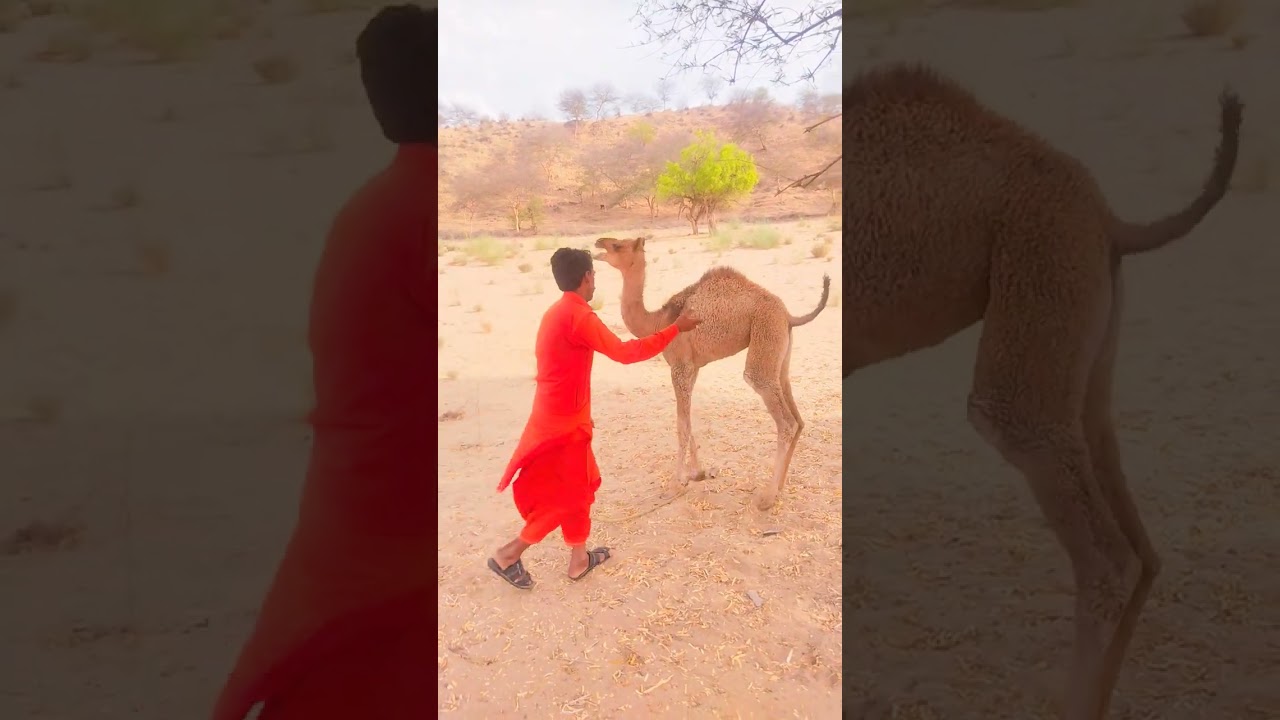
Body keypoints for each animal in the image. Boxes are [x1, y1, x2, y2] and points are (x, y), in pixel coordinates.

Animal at [593, 236, 830, 510]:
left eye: (618, 246)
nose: (598, 243)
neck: (658, 321)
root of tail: (789, 315)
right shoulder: (693, 368)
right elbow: (688, 420)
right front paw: (697, 473)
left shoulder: (679, 366)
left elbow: (681, 424)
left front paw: (675, 485)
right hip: (780, 352)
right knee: (797, 415)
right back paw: (779, 488)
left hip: (765, 335)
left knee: (783, 418)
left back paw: (767, 498)